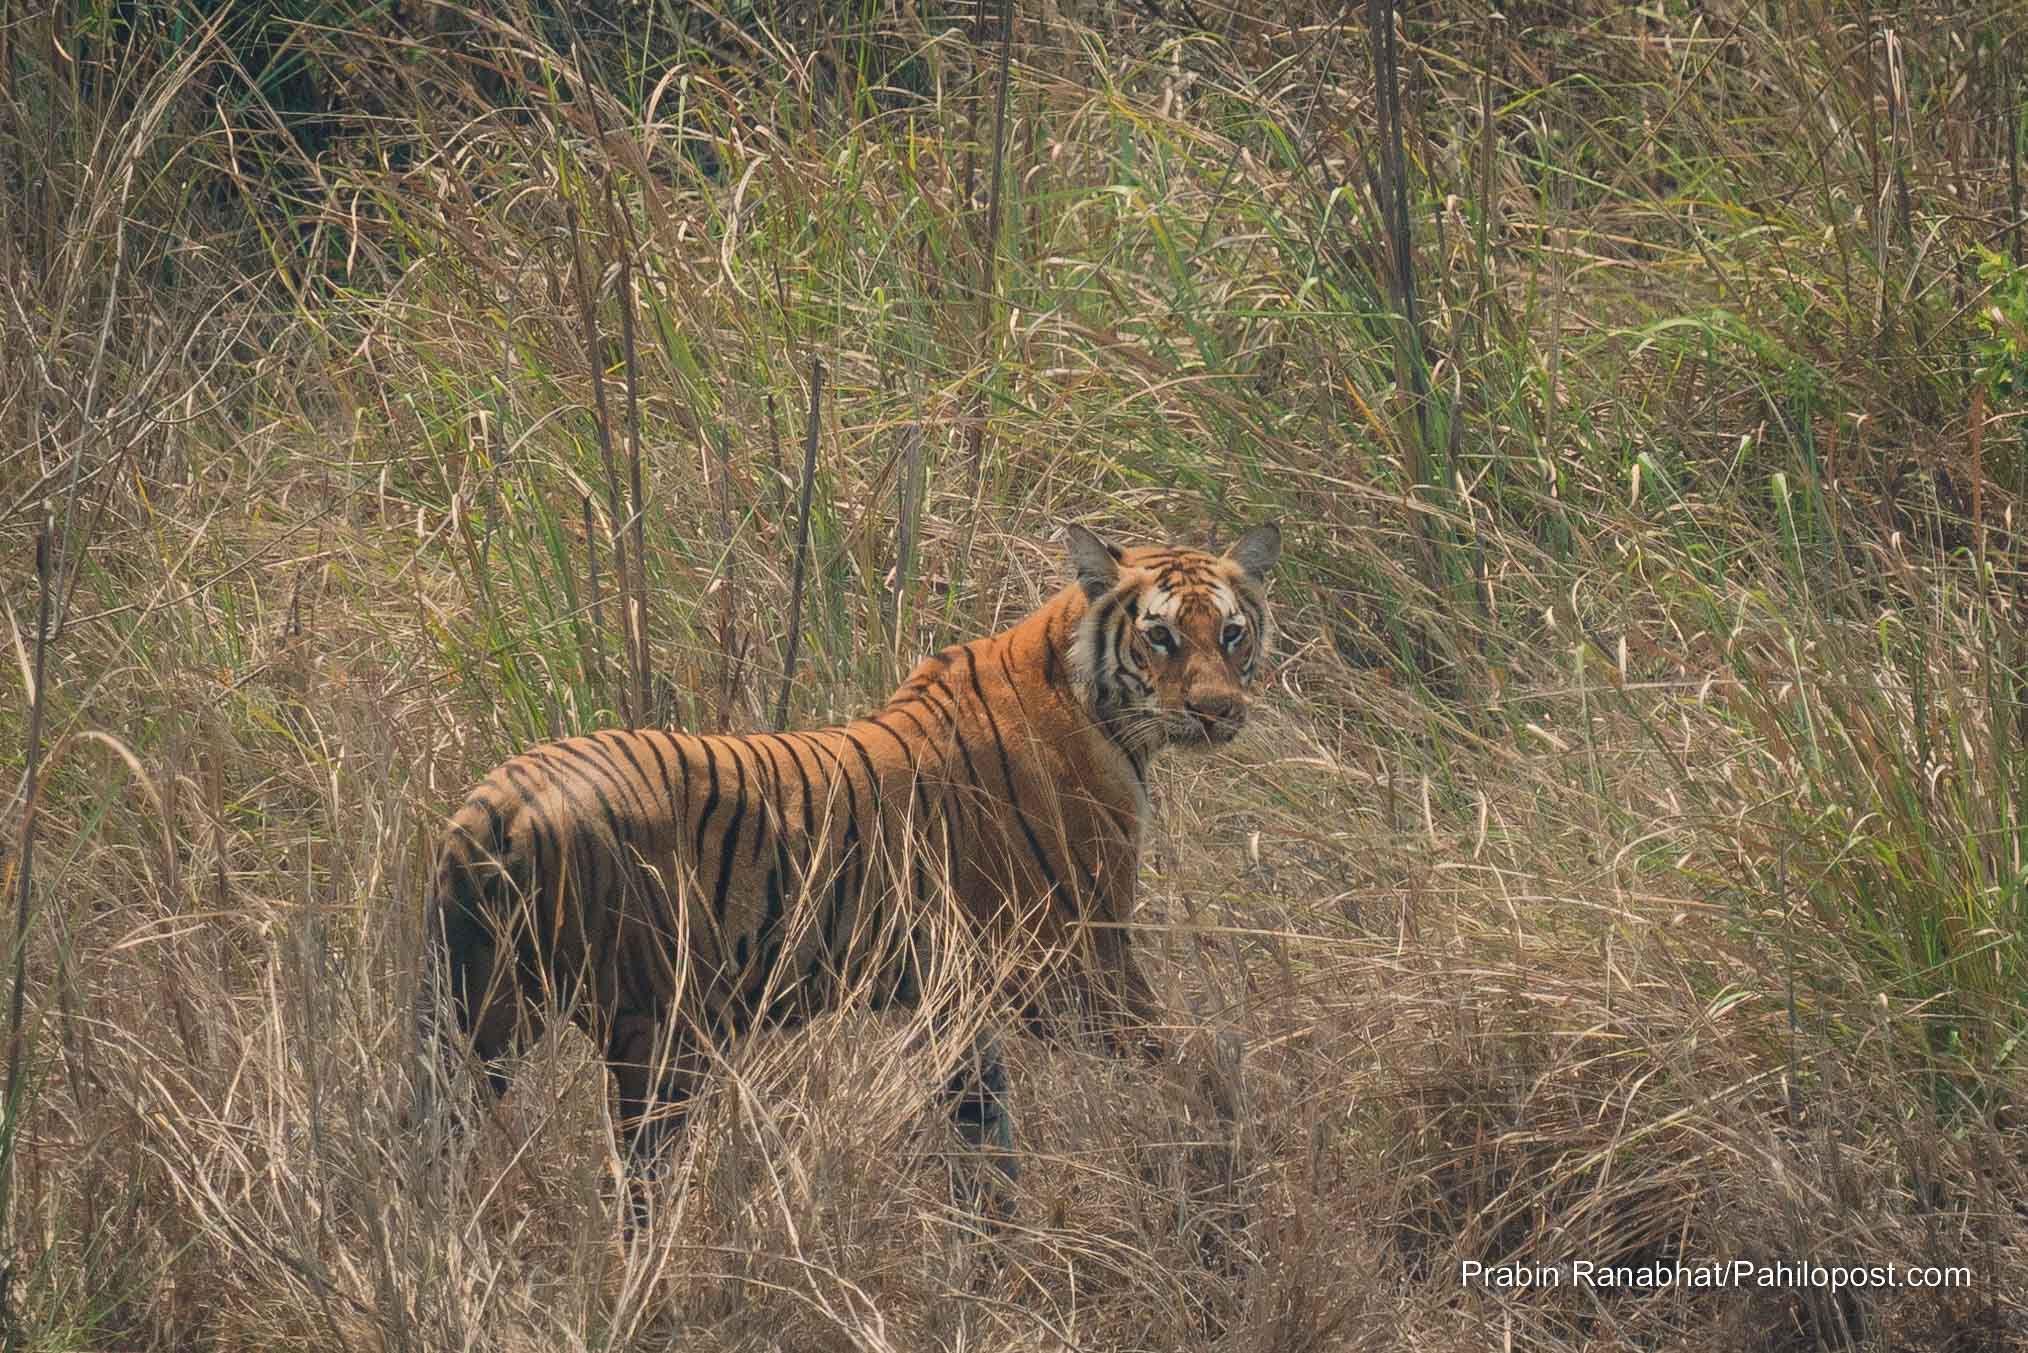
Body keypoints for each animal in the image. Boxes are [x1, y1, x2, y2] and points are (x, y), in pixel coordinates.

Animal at [421, 523, 1281, 1225]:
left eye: (1232, 633)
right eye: (1161, 636)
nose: (1218, 711)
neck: (1090, 695)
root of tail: (499, 802)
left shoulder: (956, 997)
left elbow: (984, 1130)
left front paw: (994, 1240)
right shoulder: (1077, 965)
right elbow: (1197, 1061)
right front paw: (1229, 1162)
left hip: (478, 1018)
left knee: (424, 1149)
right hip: (655, 1031)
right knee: (637, 1186)